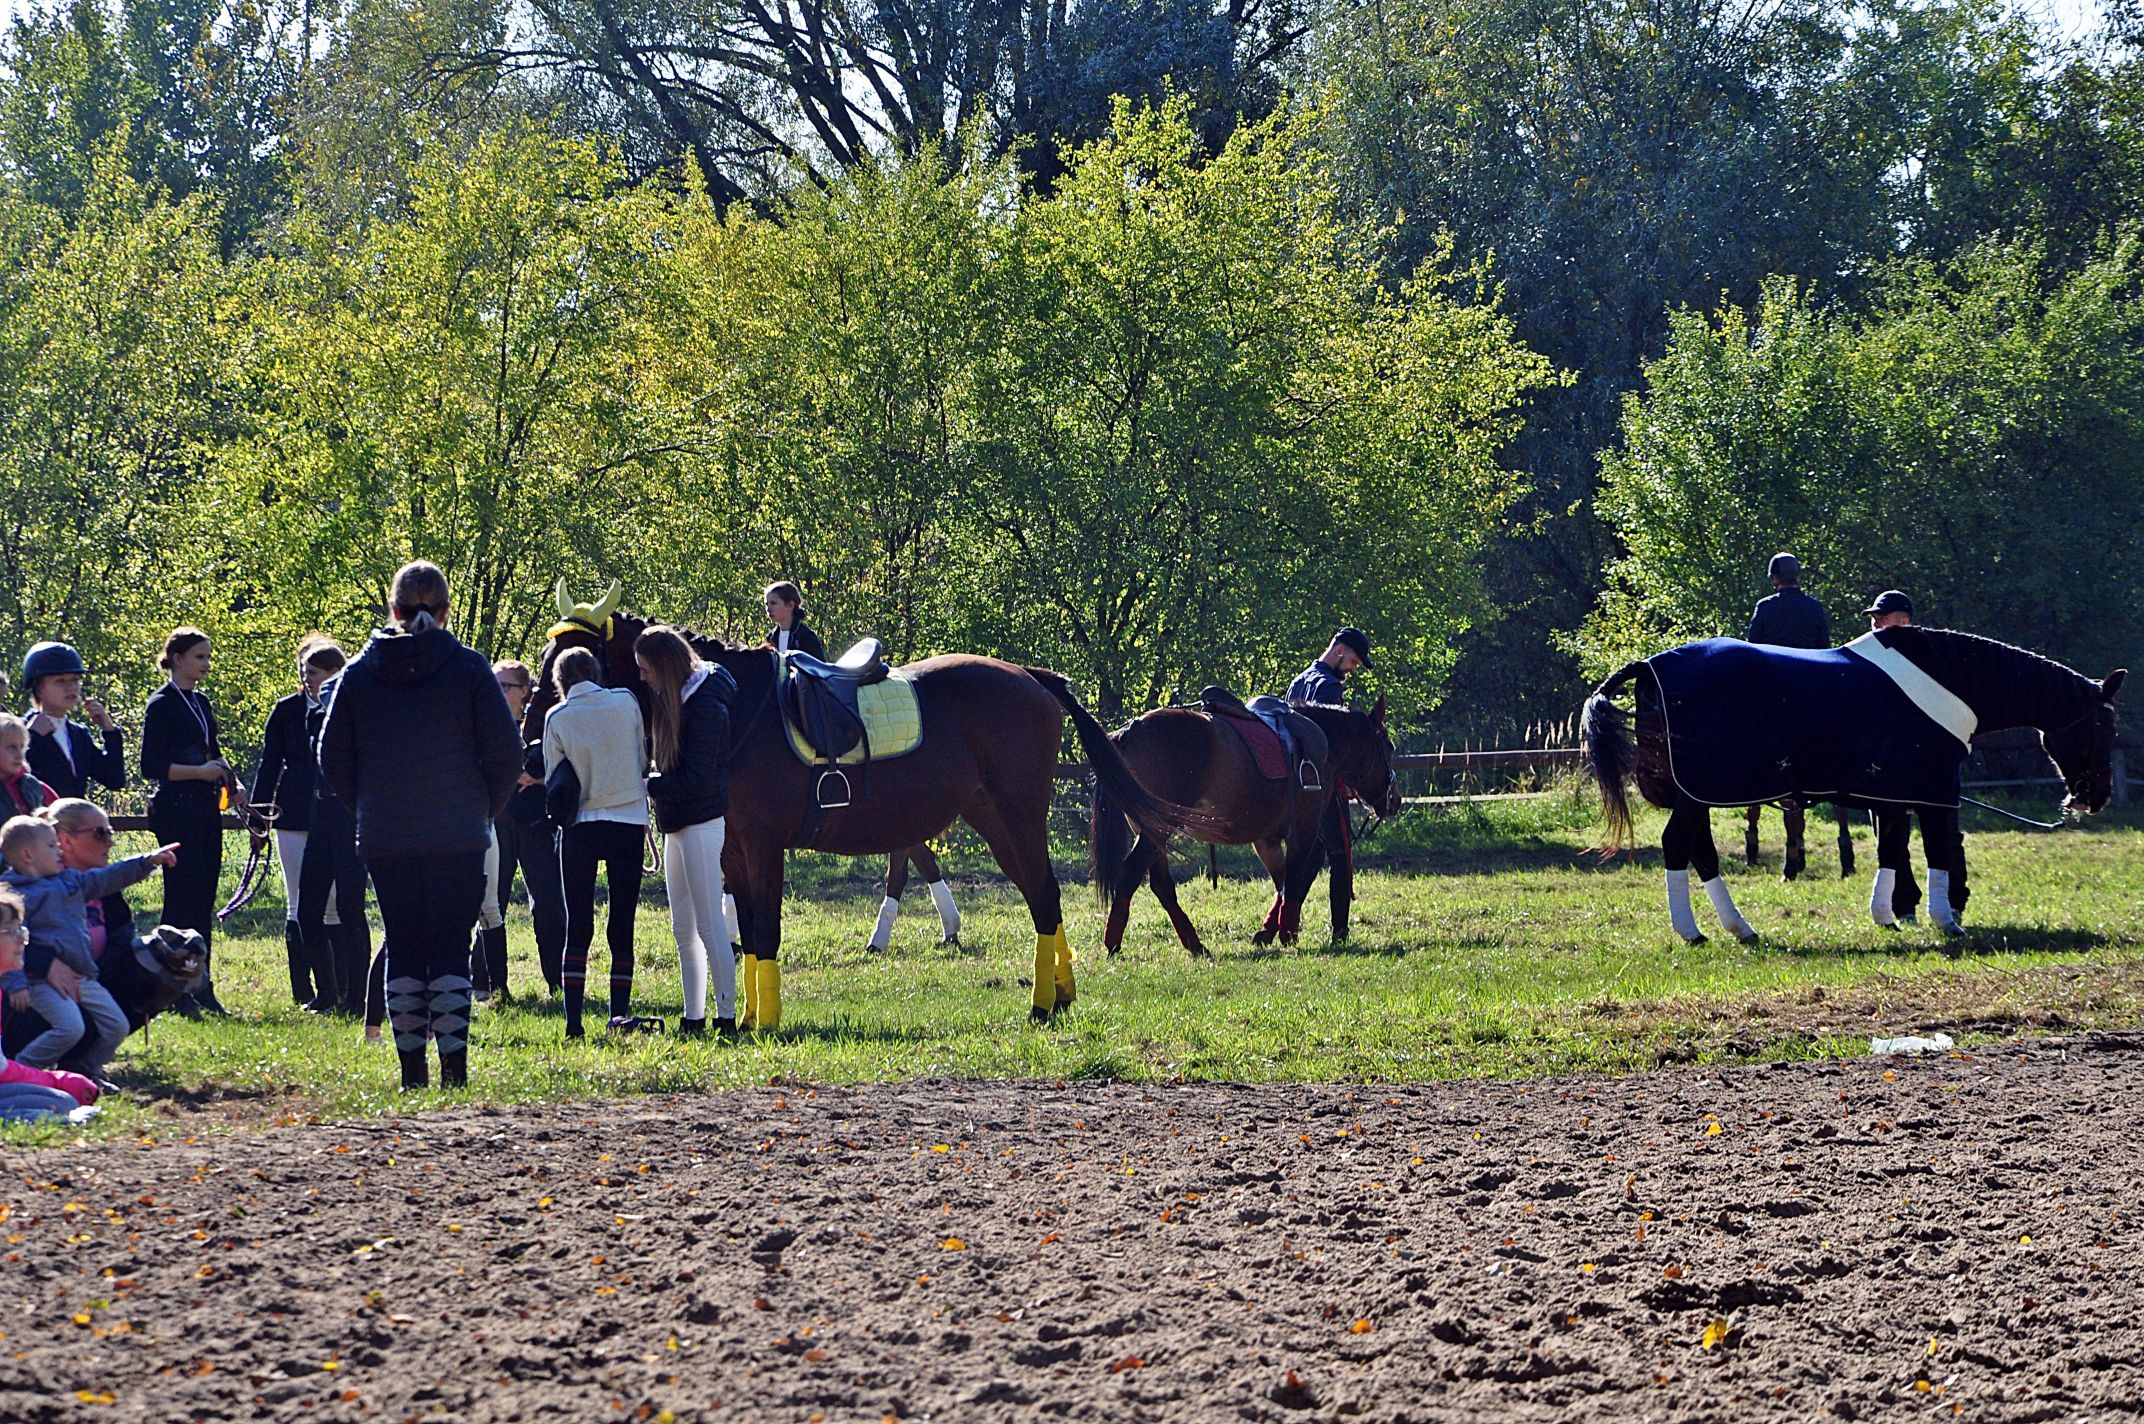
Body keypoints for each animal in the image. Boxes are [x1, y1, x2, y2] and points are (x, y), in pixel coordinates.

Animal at [531, 587, 1209, 1025]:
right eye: (546, 658)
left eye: (576, 661)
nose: (535, 739)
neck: (735, 706)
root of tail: (1030, 675)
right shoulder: (733, 850)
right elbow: (745, 928)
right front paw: (744, 1018)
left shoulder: (763, 845)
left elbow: (765, 929)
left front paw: (764, 1022)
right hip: (992, 819)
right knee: (1039, 895)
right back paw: (1060, 993)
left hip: (1017, 816)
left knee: (1043, 895)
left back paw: (1043, 1005)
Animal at [1089, 699, 1406, 956]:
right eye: (1388, 747)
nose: (1395, 800)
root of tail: (1131, 730)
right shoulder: (1303, 829)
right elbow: (1295, 876)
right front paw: (1287, 931)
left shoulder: (1266, 838)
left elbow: (1284, 882)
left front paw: (1270, 929)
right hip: (1157, 831)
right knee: (1132, 873)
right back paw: (1114, 942)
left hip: (1153, 830)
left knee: (1161, 885)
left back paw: (1194, 943)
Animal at [1586, 626, 2118, 943]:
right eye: (2104, 725)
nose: (2094, 798)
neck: (1950, 682)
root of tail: (1651, 666)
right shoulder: (1935, 794)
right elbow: (1937, 851)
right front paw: (1946, 922)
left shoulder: (1894, 794)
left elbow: (1892, 849)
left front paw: (1886, 915)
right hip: (1699, 795)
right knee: (1679, 846)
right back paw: (1692, 931)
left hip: (1697, 795)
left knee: (1700, 852)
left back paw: (1739, 927)